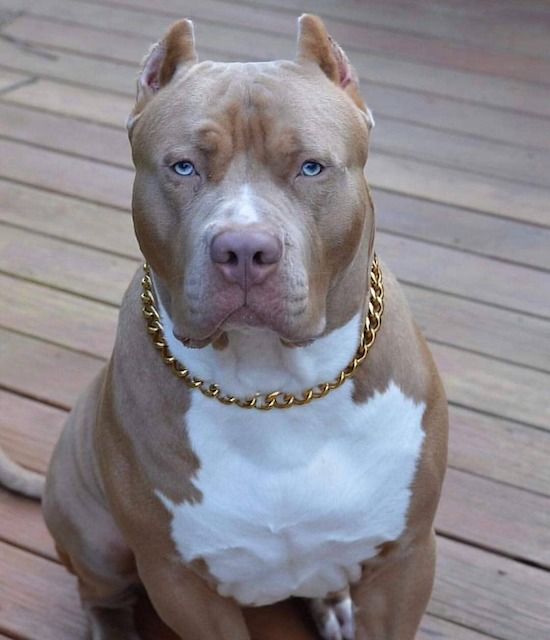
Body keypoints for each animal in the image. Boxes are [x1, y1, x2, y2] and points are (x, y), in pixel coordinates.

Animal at [2, 15, 448, 640]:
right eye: (183, 166)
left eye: (311, 167)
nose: (243, 250)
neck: (276, 389)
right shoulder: (180, 583)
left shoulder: (406, 561)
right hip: (95, 536)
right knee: (99, 594)